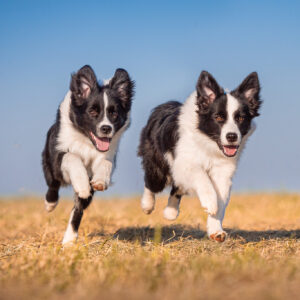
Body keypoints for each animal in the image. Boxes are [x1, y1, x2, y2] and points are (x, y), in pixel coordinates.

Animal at [41, 65, 134, 244]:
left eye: (114, 113)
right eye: (92, 111)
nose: (106, 128)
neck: (86, 141)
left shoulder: (107, 154)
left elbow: (106, 163)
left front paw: (99, 180)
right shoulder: (58, 154)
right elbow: (72, 156)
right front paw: (82, 184)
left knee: (78, 209)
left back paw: (69, 241)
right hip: (49, 163)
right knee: (53, 184)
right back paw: (50, 204)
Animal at [138, 69, 260, 241]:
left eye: (241, 118)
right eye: (218, 117)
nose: (232, 136)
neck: (209, 143)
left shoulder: (222, 171)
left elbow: (221, 198)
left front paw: (216, 230)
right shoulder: (185, 162)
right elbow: (202, 178)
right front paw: (210, 202)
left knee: (177, 187)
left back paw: (170, 212)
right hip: (158, 166)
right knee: (151, 182)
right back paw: (147, 205)